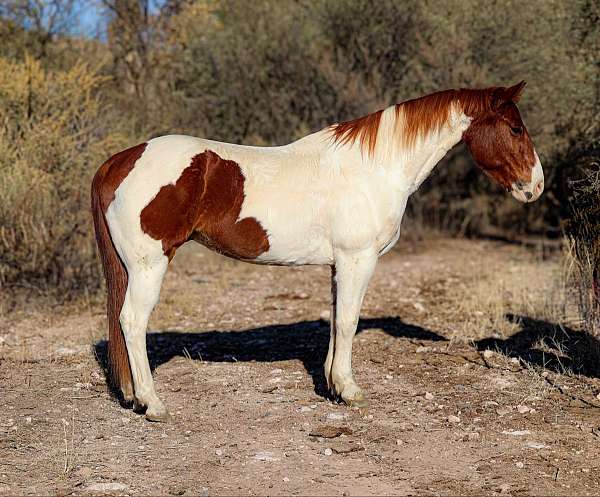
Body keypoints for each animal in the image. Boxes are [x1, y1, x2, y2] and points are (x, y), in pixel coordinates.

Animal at [92, 82, 544, 422]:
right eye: (515, 128)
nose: (535, 187)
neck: (373, 168)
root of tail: (120, 161)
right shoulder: (357, 259)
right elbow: (347, 322)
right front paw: (349, 390)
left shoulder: (338, 265)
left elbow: (334, 320)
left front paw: (331, 385)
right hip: (149, 266)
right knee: (132, 322)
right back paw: (153, 404)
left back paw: (133, 396)